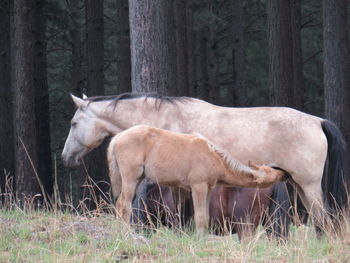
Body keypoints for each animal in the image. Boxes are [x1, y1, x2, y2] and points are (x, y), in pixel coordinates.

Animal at [107, 126, 288, 235]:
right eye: (271, 173)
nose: (284, 173)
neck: (213, 157)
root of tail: (118, 137)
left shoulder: (207, 189)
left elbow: (205, 218)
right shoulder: (198, 187)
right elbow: (200, 217)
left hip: (138, 178)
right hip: (130, 177)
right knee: (123, 204)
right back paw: (125, 233)